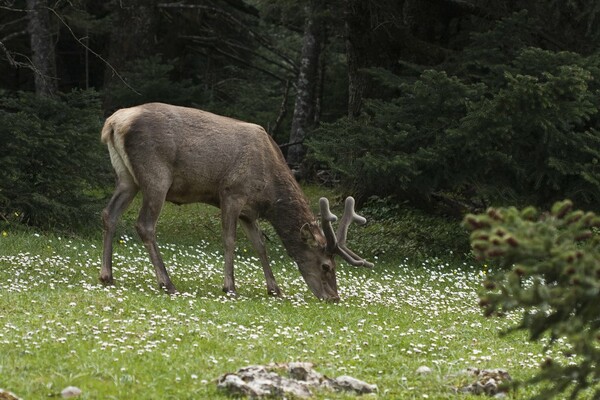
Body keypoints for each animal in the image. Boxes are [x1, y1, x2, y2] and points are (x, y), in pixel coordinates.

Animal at [99, 102, 370, 300]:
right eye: (326, 266)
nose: (334, 297)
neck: (269, 193)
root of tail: (113, 122)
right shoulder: (231, 193)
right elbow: (230, 240)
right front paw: (229, 286)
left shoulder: (249, 211)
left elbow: (260, 245)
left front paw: (275, 289)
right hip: (156, 176)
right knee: (144, 224)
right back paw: (167, 282)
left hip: (126, 177)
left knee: (109, 214)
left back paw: (106, 275)